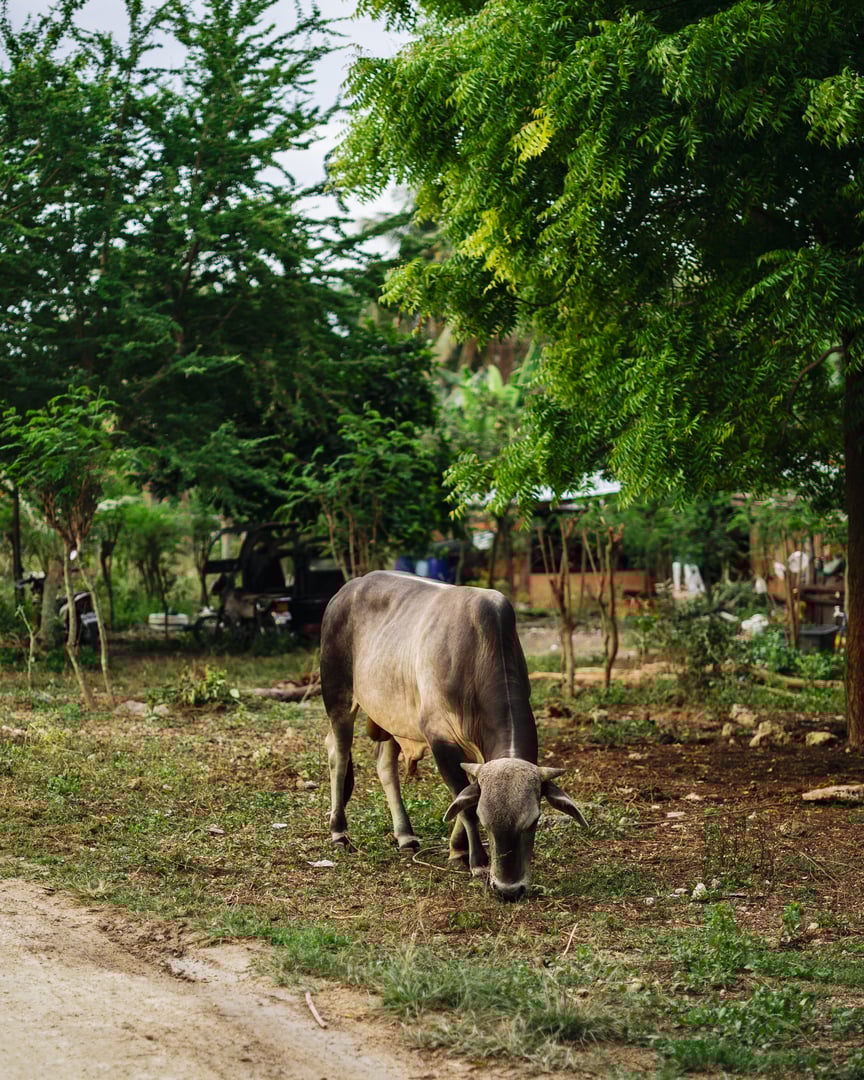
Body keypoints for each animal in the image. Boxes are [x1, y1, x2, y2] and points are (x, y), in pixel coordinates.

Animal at [320, 570, 587, 901]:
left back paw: (405, 836)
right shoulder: (440, 740)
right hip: (338, 697)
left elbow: (463, 796)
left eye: (534, 820)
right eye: (487, 822)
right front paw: (477, 862)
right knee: (339, 754)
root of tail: (347, 589)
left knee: (384, 764)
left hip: (394, 717)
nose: (509, 890)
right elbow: (465, 803)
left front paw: (458, 850)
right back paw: (339, 832)